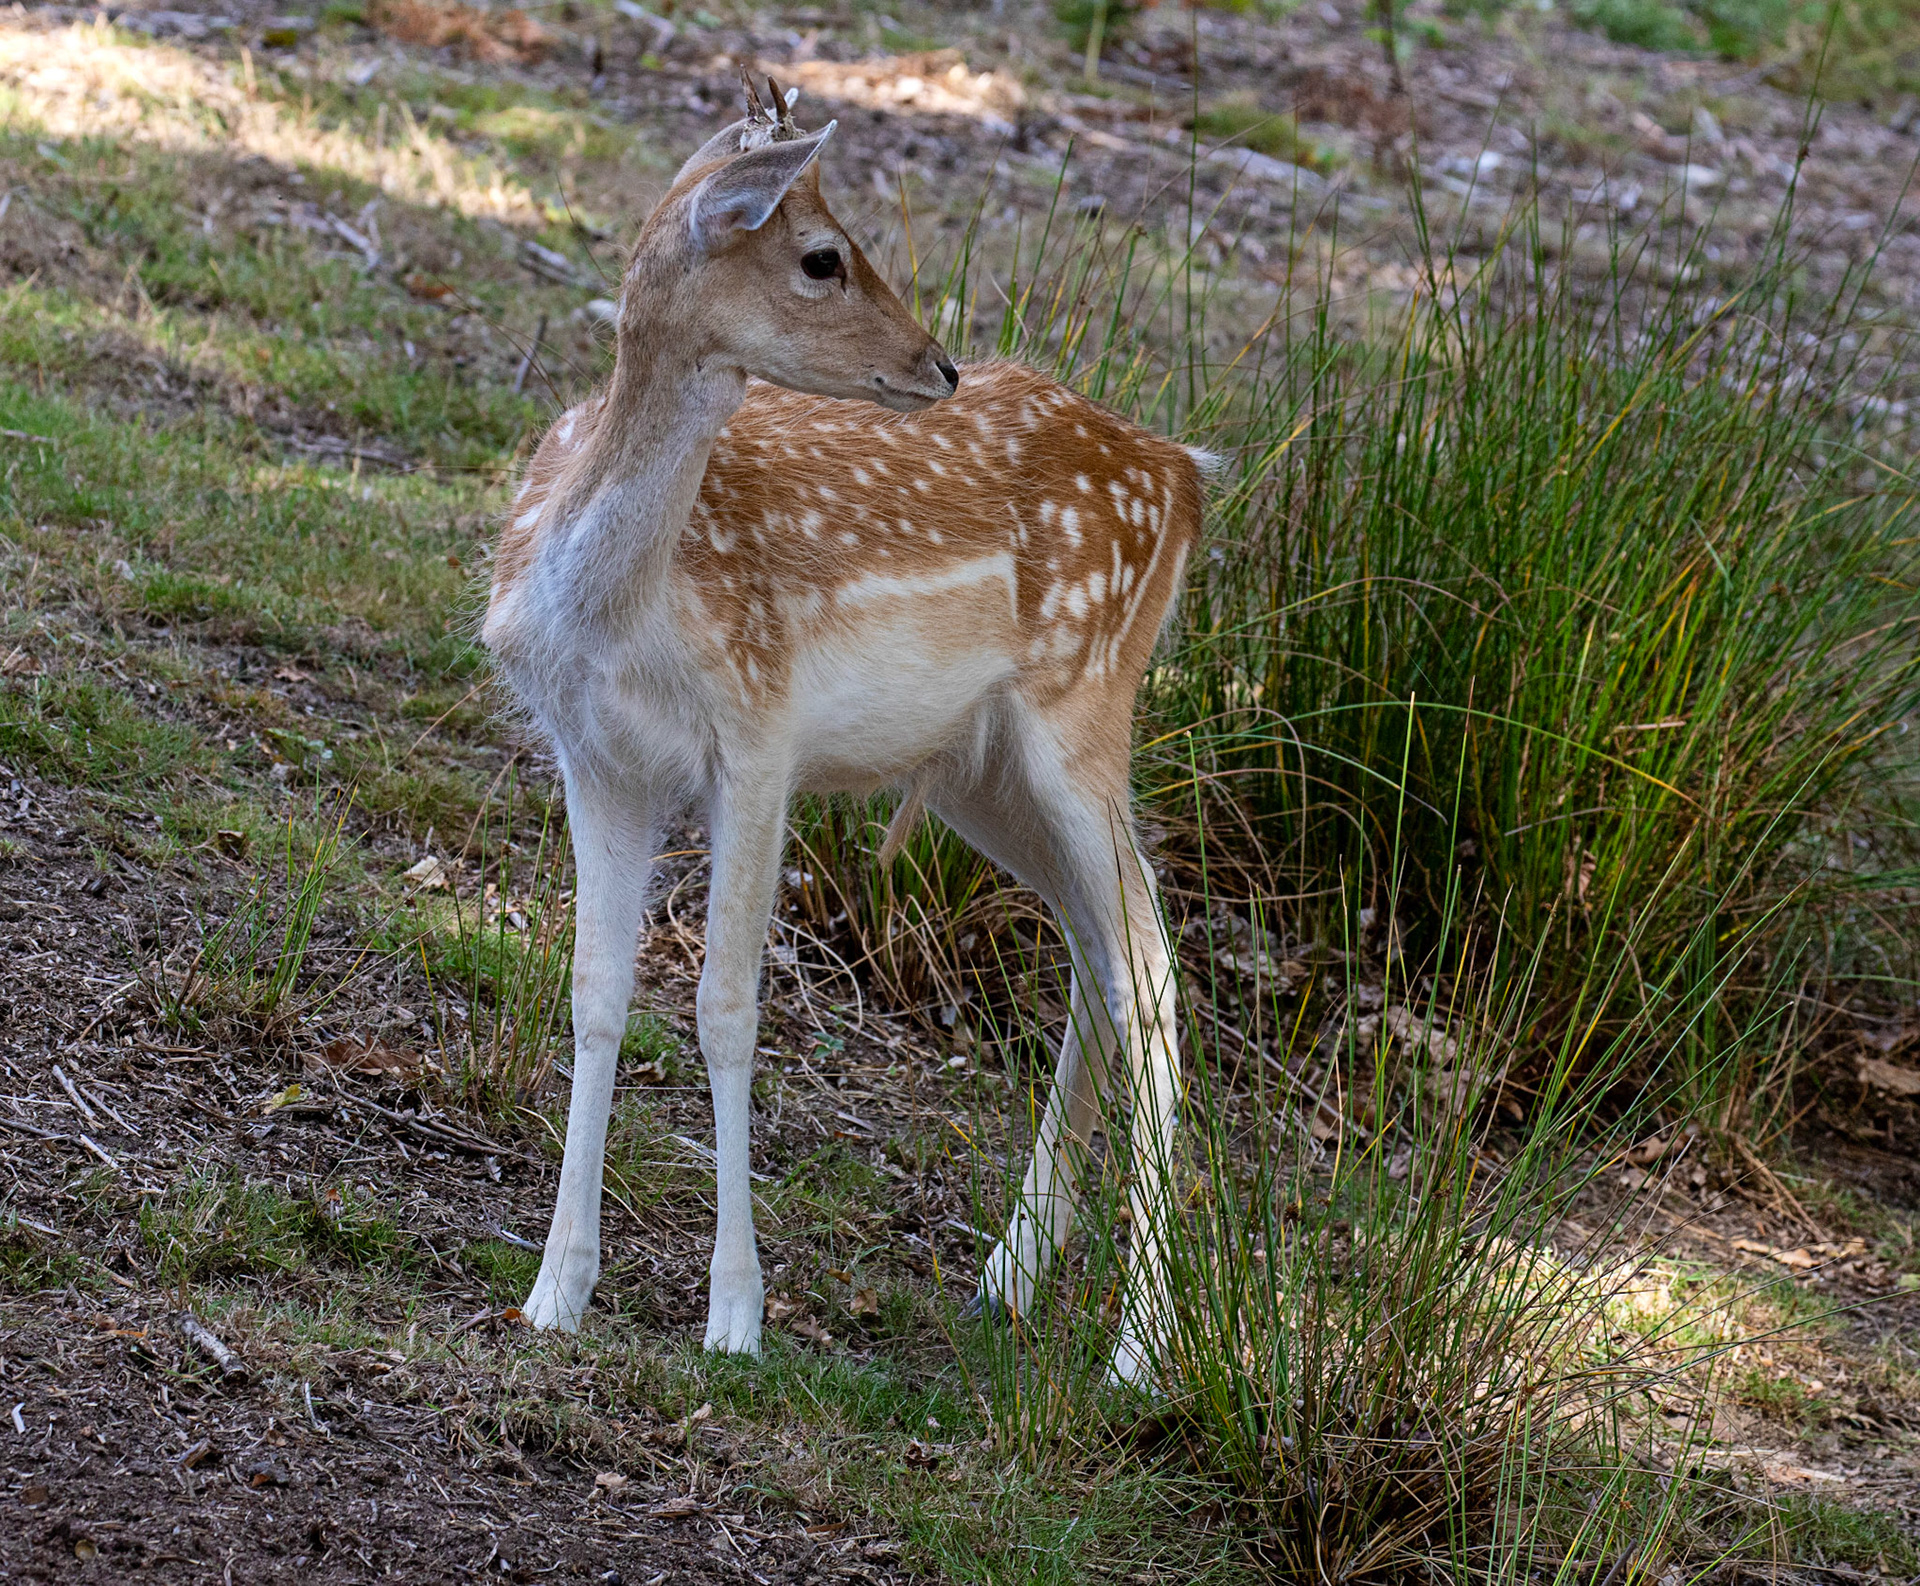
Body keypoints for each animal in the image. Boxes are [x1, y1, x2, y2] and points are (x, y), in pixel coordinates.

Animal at [482, 77, 1206, 1384]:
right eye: (822, 255)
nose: (939, 363)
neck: (610, 610)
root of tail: (1184, 473)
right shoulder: (596, 756)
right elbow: (595, 989)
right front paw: (555, 1287)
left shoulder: (757, 731)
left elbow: (725, 1004)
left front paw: (735, 1313)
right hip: (982, 772)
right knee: (1098, 951)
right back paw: (1010, 1272)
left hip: (1084, 705)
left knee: (1154, 972)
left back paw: (1139, 1348)